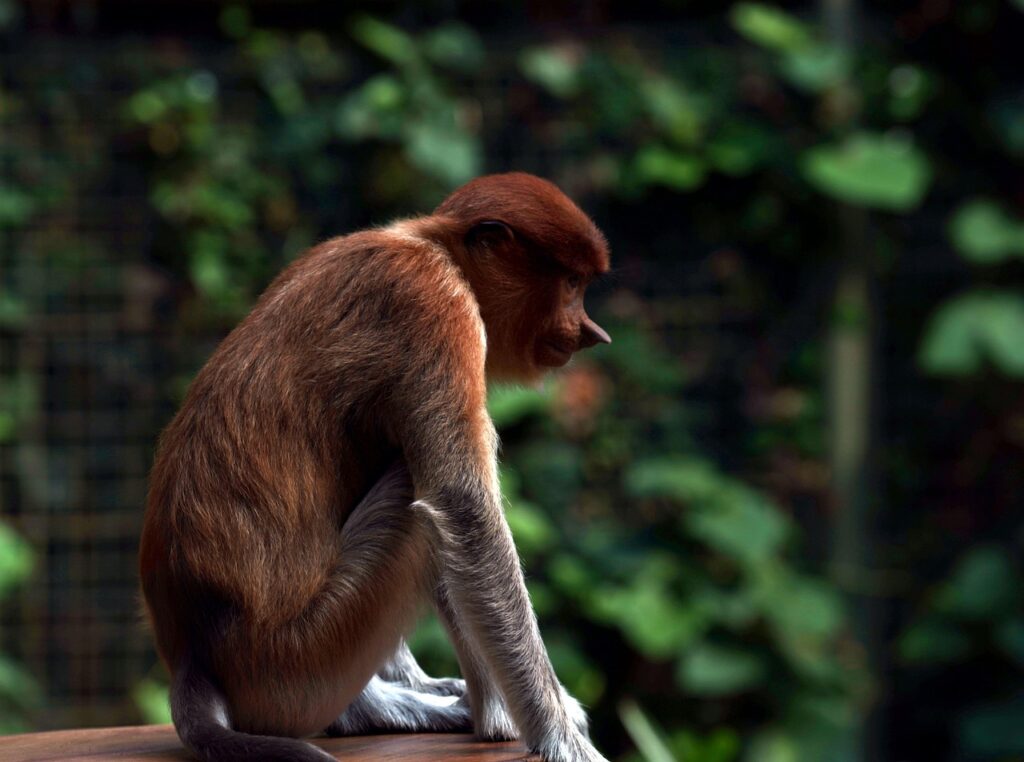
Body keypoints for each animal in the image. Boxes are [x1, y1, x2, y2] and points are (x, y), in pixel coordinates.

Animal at [139, 172, 613, 762]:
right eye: (570, 282)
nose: (591, 332)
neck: (431, 246)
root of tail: (192, 656)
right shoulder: (435, 307)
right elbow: (465, 512)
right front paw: (563, 738)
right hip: (300, 663)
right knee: (422, 505)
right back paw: (477, 720)